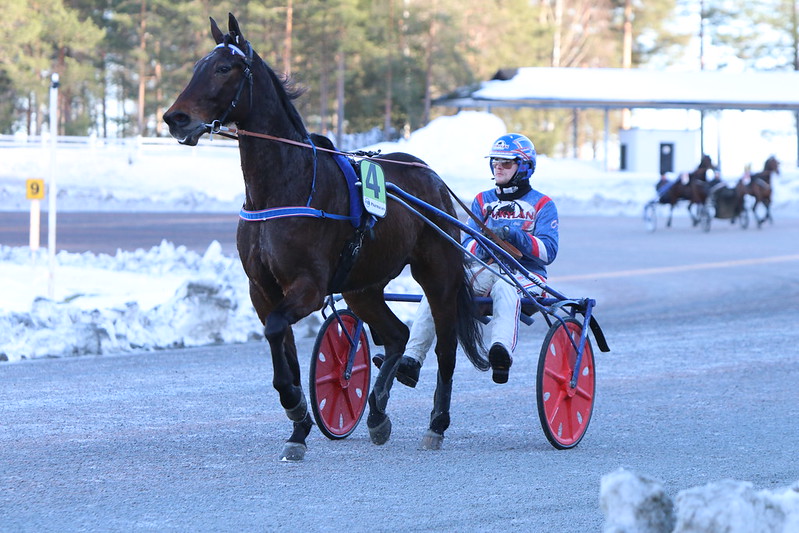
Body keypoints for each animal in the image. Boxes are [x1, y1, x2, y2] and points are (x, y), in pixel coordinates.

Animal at [162, 14, 488, 460]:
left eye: (224, 68)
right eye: (198, 65)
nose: (175, 118)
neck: (286, 186)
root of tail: (431, 176)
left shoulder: (309, 287)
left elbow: (277, 330)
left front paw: (295, 405)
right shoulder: (262, 289)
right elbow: (282, 345)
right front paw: (299, 425)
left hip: (437, 272)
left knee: (445, 347)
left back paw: (436, 424)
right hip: (362, 286)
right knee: (396, 335)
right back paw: (377, 413)